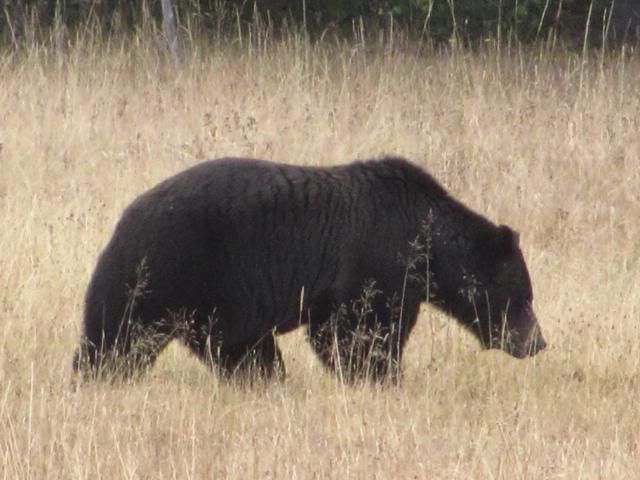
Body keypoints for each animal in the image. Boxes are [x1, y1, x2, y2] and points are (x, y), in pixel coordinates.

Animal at [74, 157, 544, 382]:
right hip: (167, 269)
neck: (425, 244)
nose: (537, 343)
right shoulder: (373, 260)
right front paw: (379, 374)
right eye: (523, 296)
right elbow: (356, 331)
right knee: (117, 334)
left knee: (243, 351)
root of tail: (127, 216)